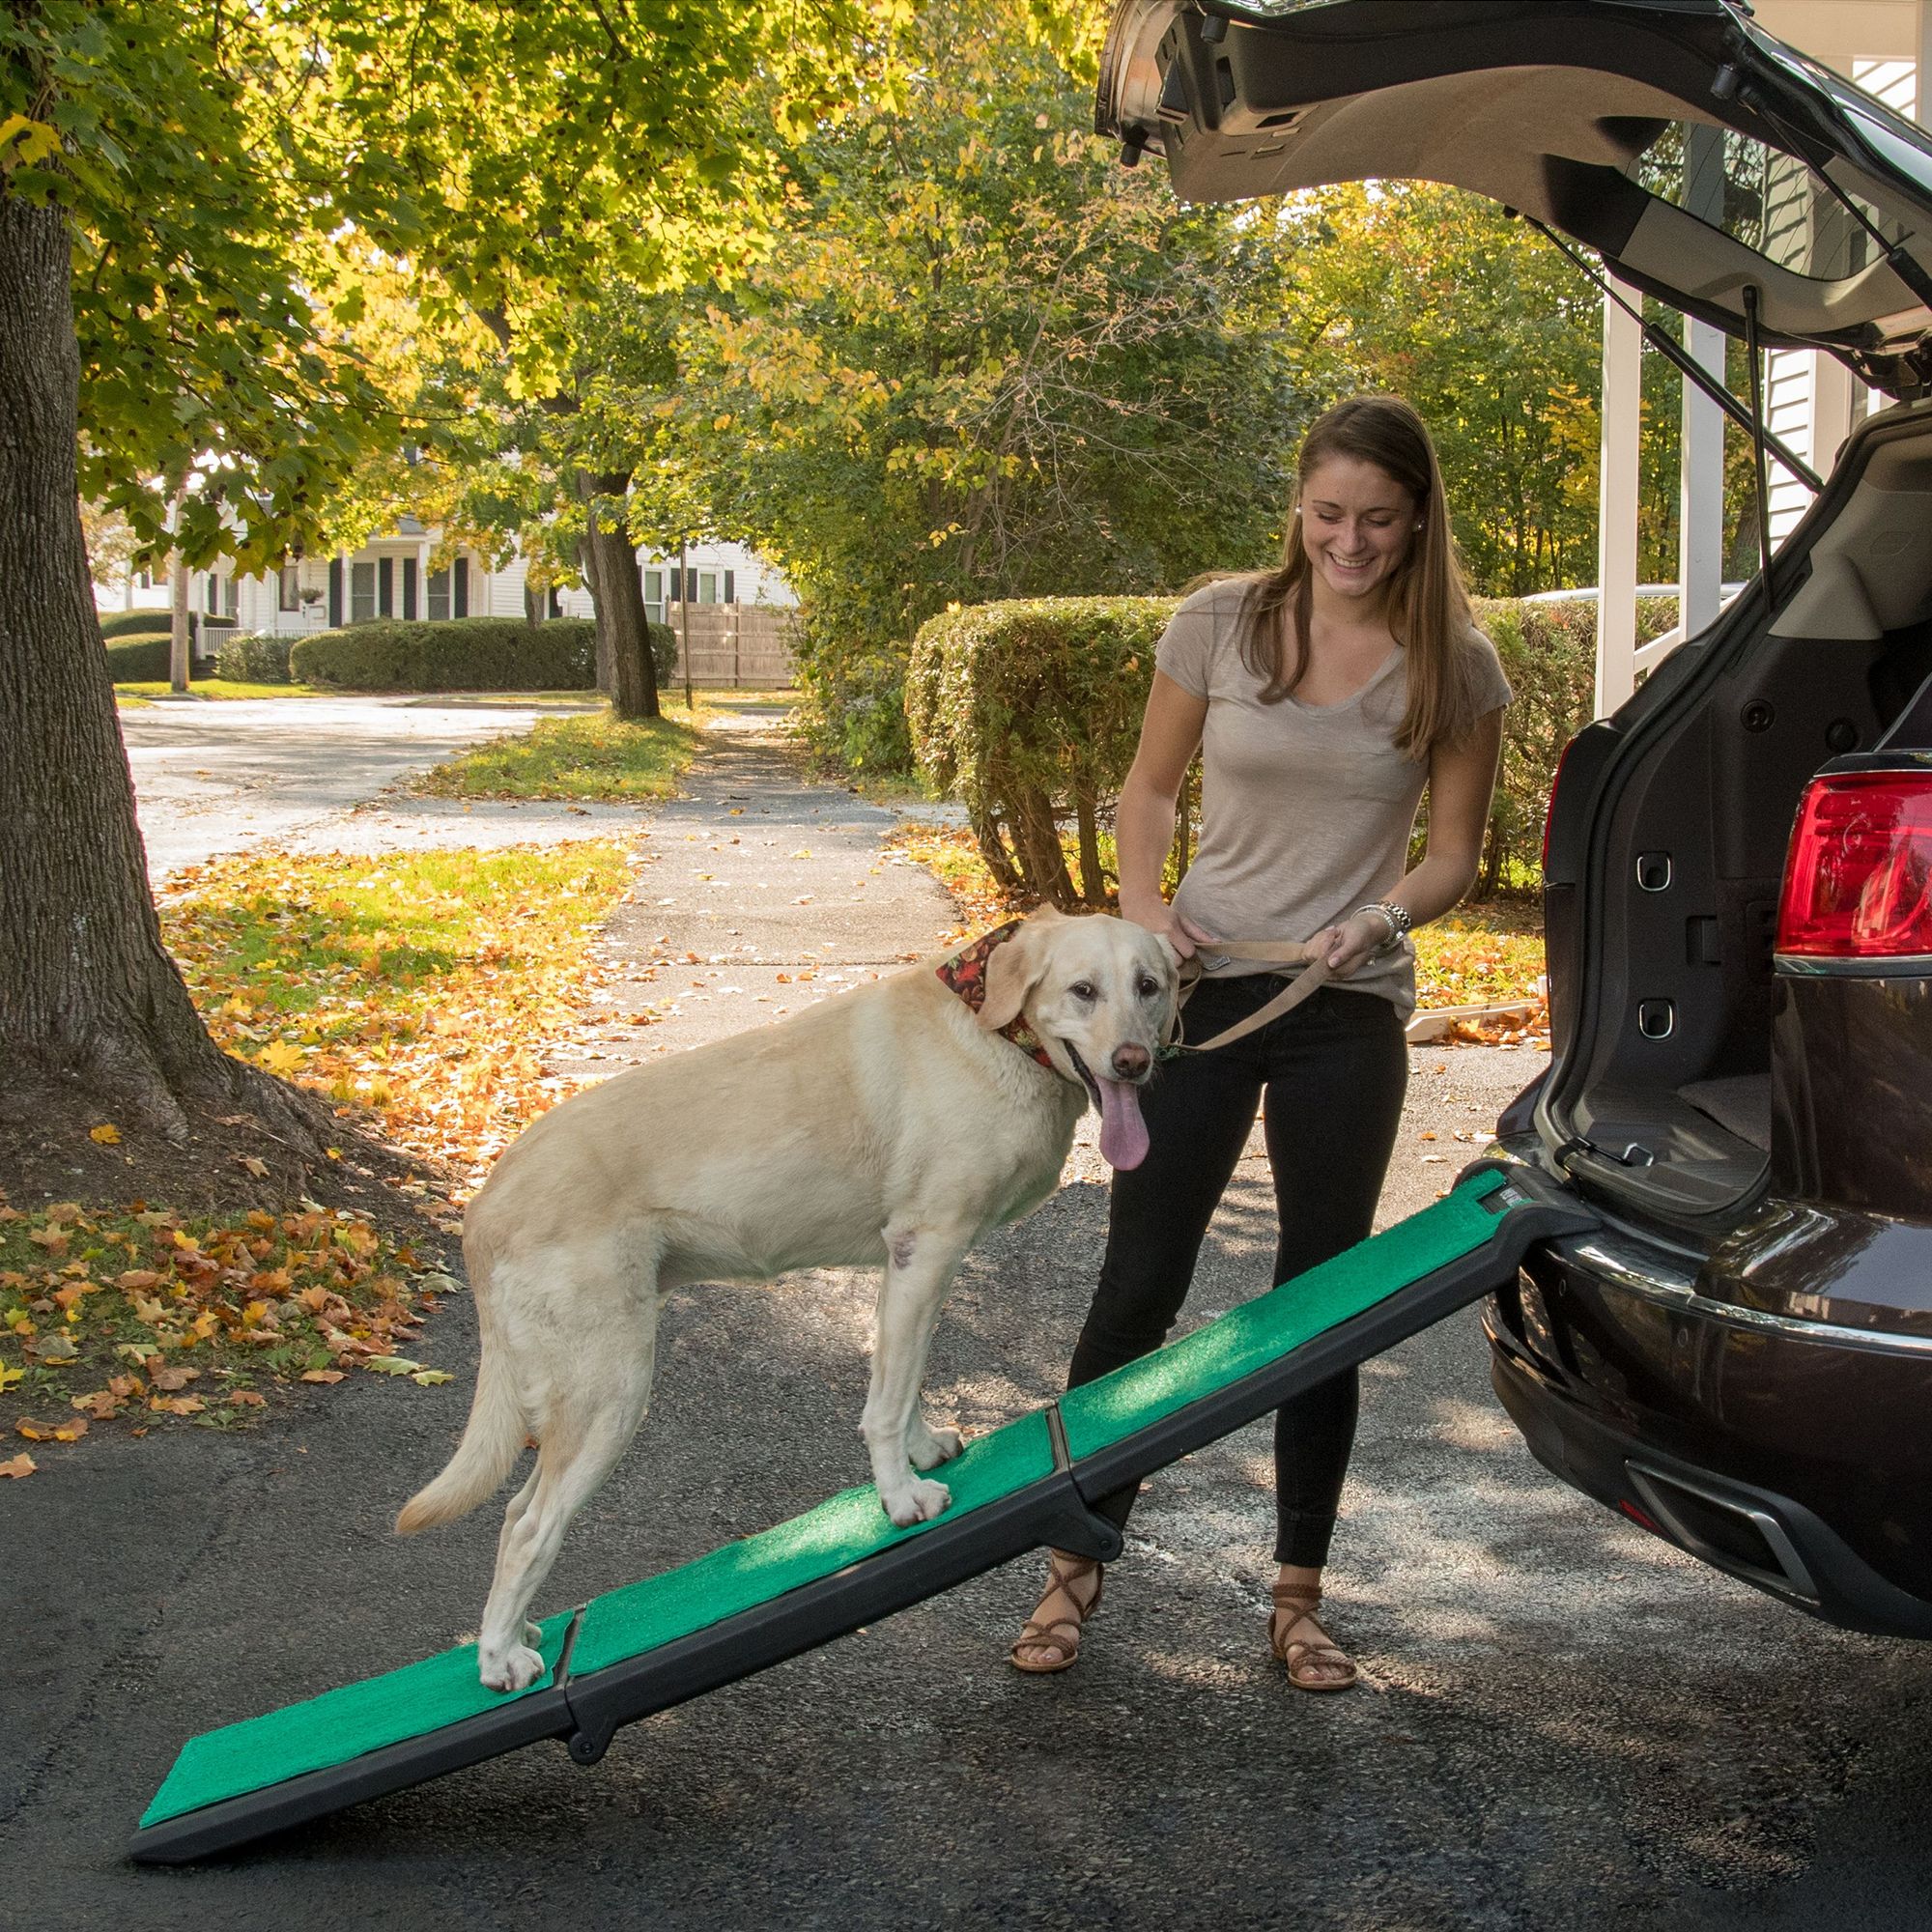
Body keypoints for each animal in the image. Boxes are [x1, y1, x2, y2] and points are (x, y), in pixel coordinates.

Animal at [400, 908, 1167, 1692]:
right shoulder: (927, 1248)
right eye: (1082, 991)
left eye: (1150, 986)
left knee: (516, 1513)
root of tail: (483, 1207)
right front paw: (901, 1499)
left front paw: (922, 1453)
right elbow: (885, 1407)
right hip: (608, 1393)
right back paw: (499, 1657)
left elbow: (905, 1383)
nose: (1135, 1062)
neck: (989, 1028)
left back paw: (518, 1634)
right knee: (528, 1527)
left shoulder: (910, 1272)